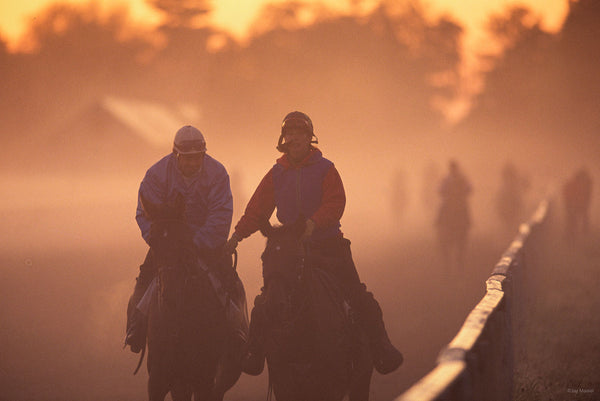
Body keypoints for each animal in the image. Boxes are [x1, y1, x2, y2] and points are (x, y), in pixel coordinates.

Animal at [258, 220, 373, 401]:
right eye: (264, 257)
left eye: (298, 258)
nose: (273, 307)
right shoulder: (285, 389)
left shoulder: (331, 389)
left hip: (360, 383)